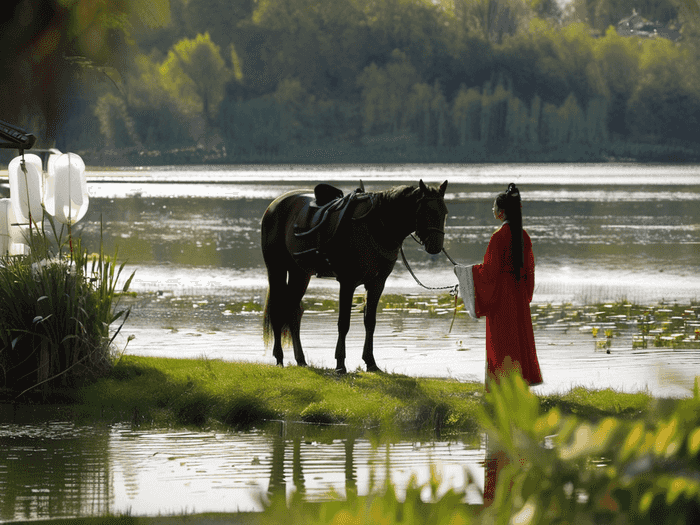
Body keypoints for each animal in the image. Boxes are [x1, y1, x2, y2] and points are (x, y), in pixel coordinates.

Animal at [262, 180, 448, 372]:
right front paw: (340, 363)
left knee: (293, 311)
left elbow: (370, 322)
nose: (436, 246)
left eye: (445, 212)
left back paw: (300, 359)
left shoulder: (377, 283)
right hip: (276, 270)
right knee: (277, 311)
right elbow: (344, 323)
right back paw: (279, 358)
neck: (375, 225)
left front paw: (370, 362)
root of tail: (274, 205)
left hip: (300, 273)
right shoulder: (347, 282)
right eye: (425, 211)